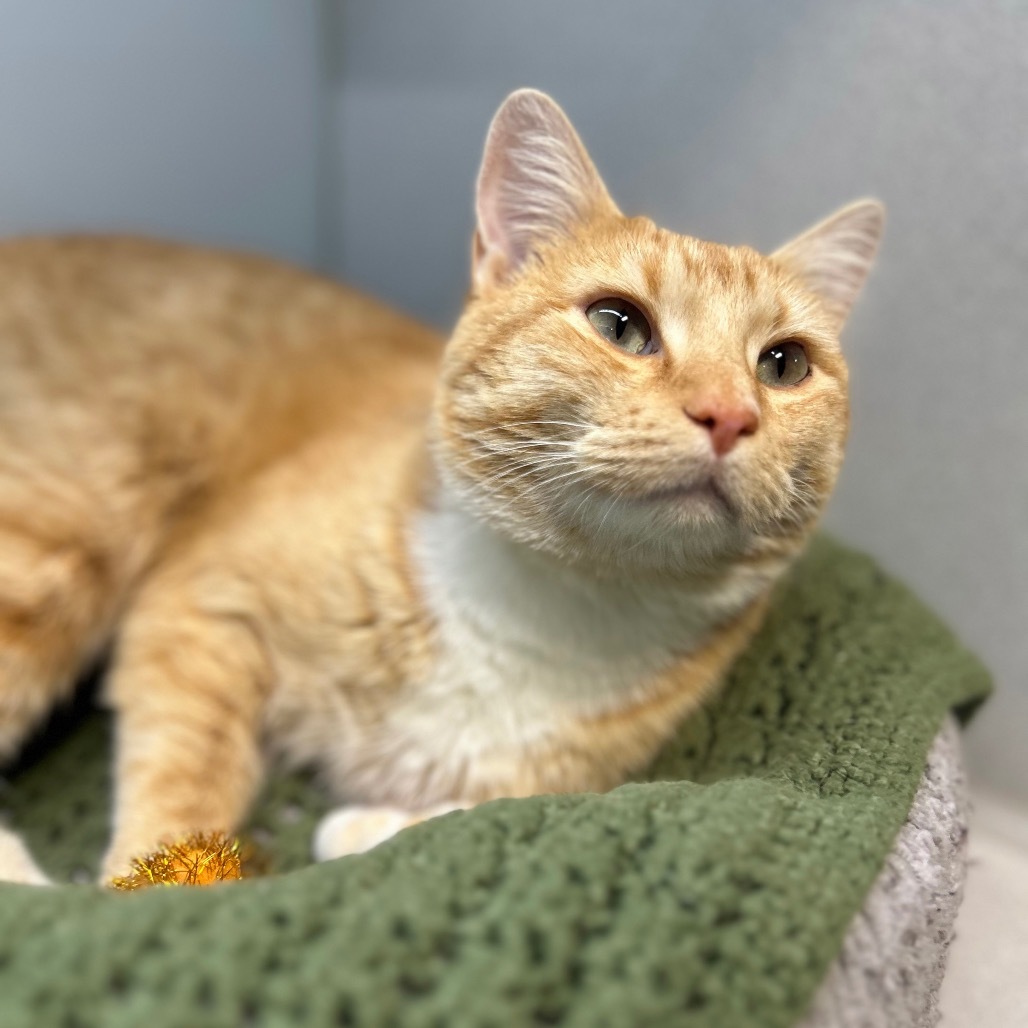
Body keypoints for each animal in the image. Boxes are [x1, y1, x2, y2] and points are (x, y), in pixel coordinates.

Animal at [0, 90, 879, 884]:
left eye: (784, 364)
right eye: (619, 324)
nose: (729, 414)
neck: (556, 610)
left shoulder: (560, 784)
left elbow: (475, 814)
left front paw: (368, 827)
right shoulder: (197, 606)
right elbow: (181, 786)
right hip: (57, 545)